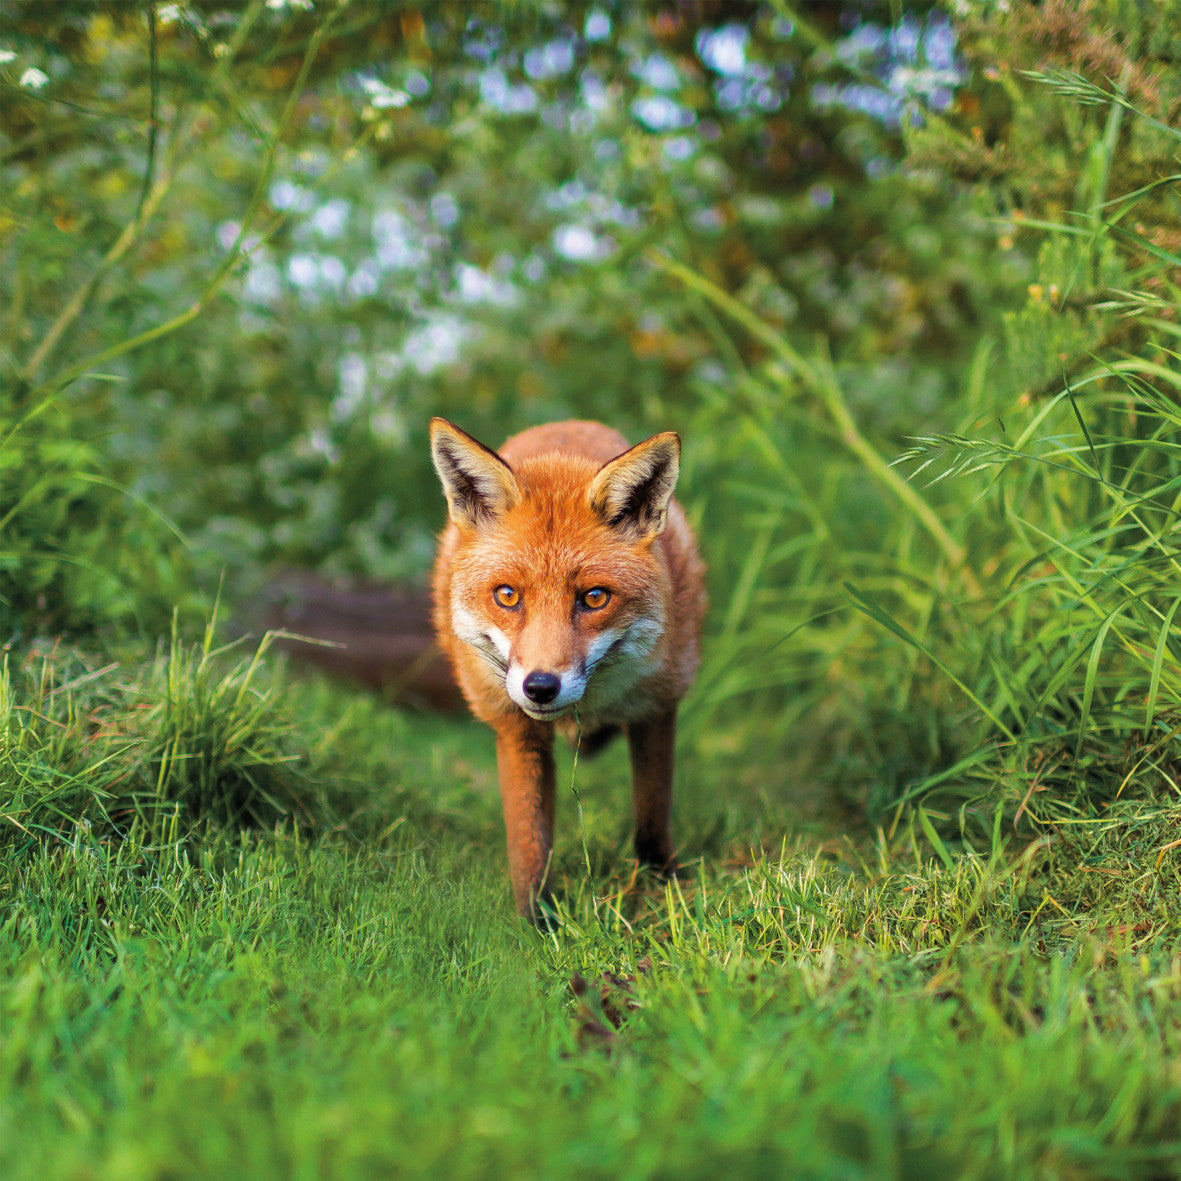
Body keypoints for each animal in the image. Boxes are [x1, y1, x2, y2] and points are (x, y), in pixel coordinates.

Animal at [429, 417, 707, 922]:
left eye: (594, 598)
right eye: (507, 595)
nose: (540, 687)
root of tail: (565, 424)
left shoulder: (657, 708)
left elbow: (652, 810)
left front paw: (664, 882)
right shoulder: (516, 730)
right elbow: (529, 842)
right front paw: (533, 923)